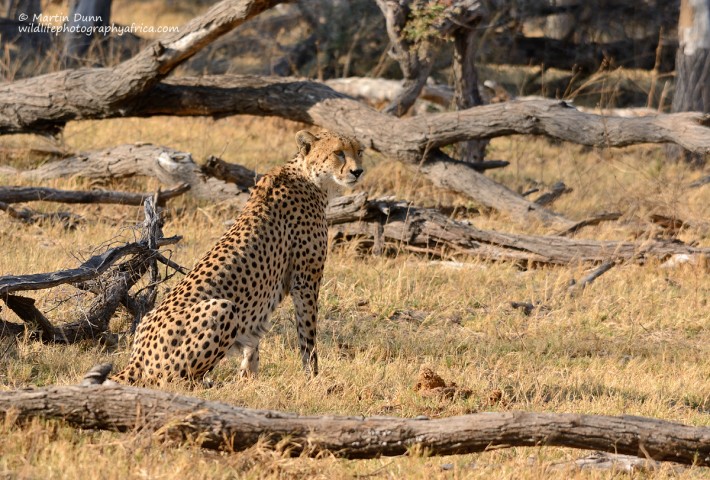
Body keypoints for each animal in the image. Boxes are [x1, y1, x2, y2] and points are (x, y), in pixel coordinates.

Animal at [114, 131, 368, 386]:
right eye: (338, 152)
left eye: (359, 151)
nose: (358, 171)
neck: (311, 178)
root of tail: (135, 359)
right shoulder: (306, 280)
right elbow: (308, 335)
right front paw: (313, 377)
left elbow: (253, 343)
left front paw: (249, 377)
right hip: (223, 308)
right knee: (173, 380)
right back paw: (209, 384)